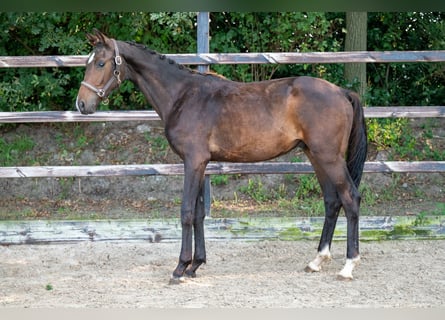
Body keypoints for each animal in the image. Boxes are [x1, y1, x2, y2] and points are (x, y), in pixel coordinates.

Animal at [77, 29, 368, 280]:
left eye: (101, 63)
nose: (81, 104)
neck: (183, 95)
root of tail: (342, 92)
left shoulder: (193, 161)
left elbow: (186, 212)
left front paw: (180, 267)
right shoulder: (200, 163)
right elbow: (198, 214)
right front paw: (195, 265)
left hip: (329, 158)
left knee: (350, 198)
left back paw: (348, 266)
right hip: (315, 156)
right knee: (332, 201)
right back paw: (316, 261)